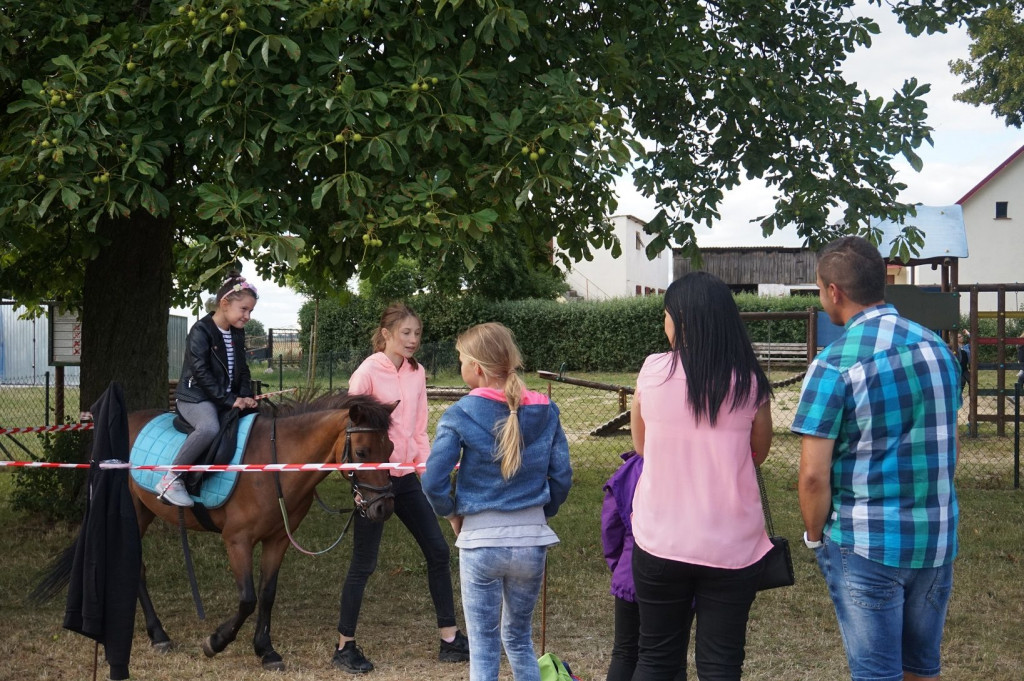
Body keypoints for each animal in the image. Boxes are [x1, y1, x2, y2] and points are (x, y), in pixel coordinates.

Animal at [126, 393, 395, 667]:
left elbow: (267, 595)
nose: (383, 507)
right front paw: (216, 641)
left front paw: (265, 649)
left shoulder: (278, 540)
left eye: (391, 449)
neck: (274, 465)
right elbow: (248, 599)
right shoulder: (237, 541)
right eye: (362, 452)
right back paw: (159, 635)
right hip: (133, 514)